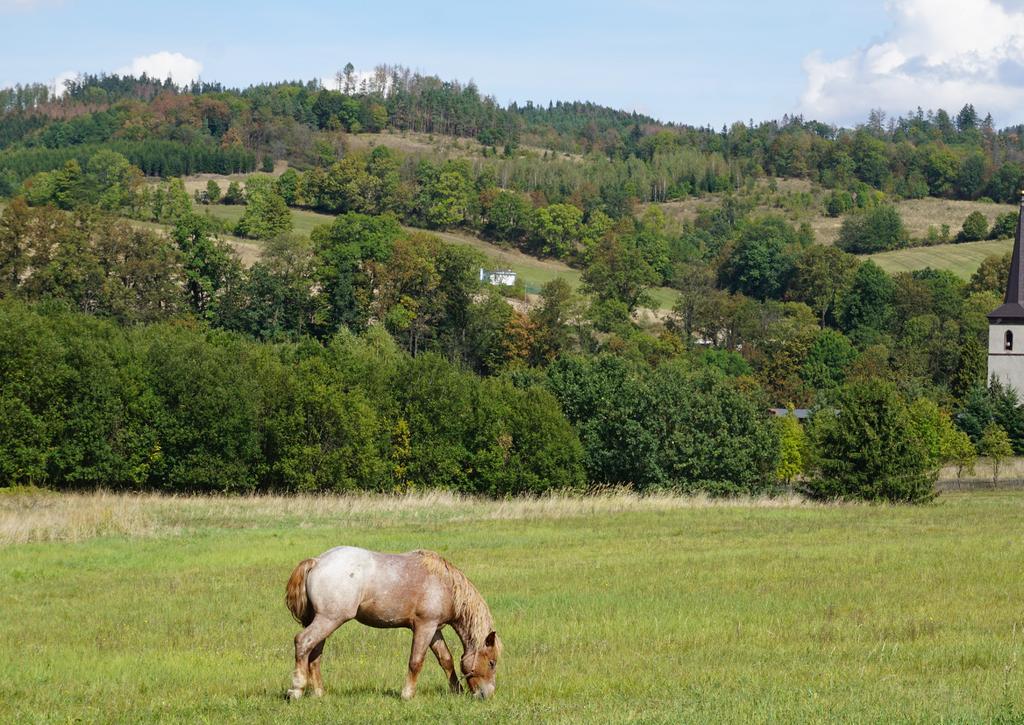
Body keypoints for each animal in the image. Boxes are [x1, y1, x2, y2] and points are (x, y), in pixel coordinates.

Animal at [286, 548, 501, 696]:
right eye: (491, 663)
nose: (487, 695)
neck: (445, 585)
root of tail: (317, 561)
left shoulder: (434, 629)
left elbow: (446, 660)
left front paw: (456, 691)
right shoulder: (424, 627)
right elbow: (416, 661)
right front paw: (407, 694)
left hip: (325, 621)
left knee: (314, 654)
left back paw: (319, 693)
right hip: (329, 619)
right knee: (303, 642)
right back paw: (296, 689)